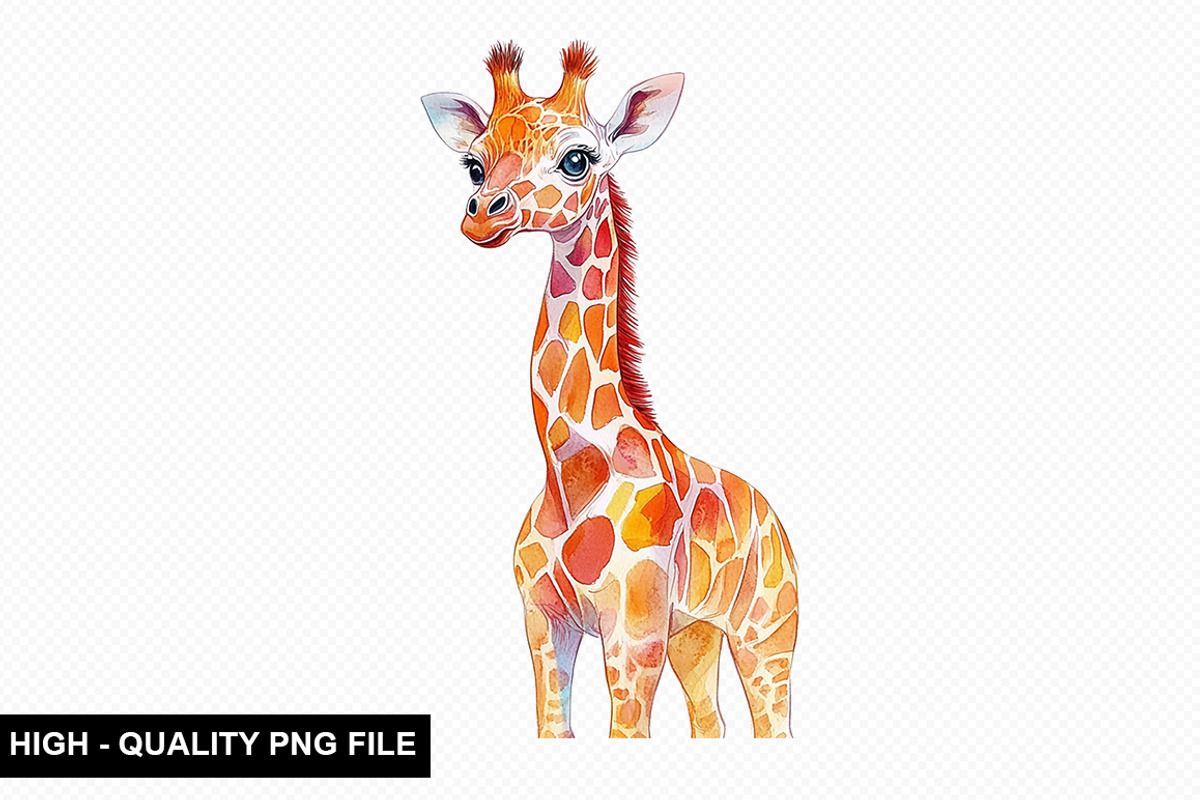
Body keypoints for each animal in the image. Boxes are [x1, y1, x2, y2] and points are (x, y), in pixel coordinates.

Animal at [422, 42, 798, 738]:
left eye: (579, 159)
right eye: (473, 164)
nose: (483, 215)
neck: (569, 472)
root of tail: (773, 514)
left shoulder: (633, 633)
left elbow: (626, 730)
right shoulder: (544, 625)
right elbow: (554, 727)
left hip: (766, 635)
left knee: (773, 724)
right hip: (696, 637)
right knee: (711, 723)